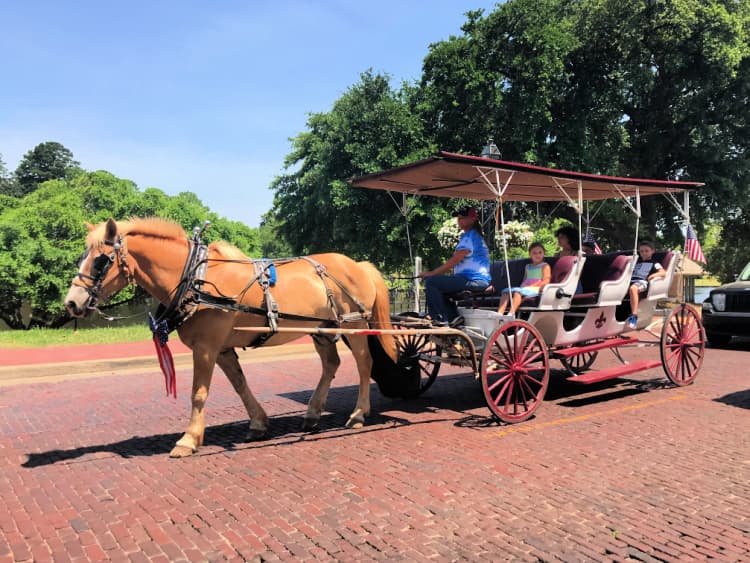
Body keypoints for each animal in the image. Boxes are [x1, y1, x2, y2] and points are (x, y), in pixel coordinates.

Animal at [61, 217, 408, 458]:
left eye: (101, 260)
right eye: (82, 257)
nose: (72, 303)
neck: (196, 280)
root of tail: (358, 264)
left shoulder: (206, 347)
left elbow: (198, 393)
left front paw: (188, 439)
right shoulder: (223, 349)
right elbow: (240, 386)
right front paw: (258, 424)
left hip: (354, 325)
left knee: (363, 363)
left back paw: (358, 414)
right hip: (321, 328)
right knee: (330, 364)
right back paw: (311, 415)